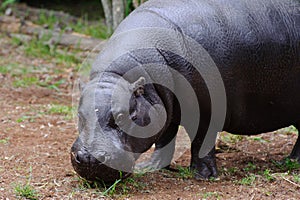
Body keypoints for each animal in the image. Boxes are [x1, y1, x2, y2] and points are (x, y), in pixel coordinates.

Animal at [71, 0, 300, 182]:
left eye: (122, 116)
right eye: (80, 115)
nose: (89, 158)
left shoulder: (206, 111)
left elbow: (200, 141)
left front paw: (202, 176)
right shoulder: (165, 106)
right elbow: (164, 139)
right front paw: (153, 167)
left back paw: (290, 162)